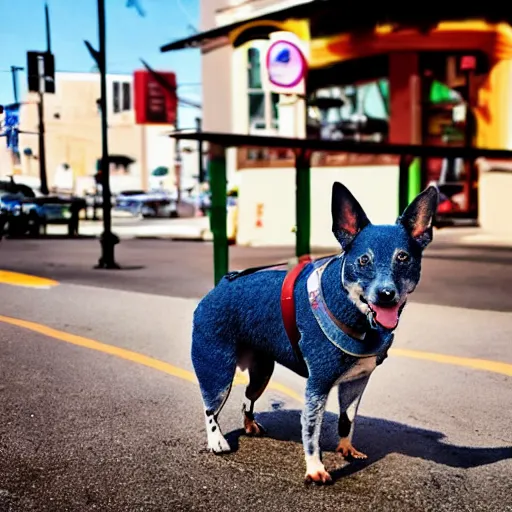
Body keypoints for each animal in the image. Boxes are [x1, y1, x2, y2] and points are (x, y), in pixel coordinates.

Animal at [190, 182, 438, 486]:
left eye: (403, 257)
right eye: (363, 260)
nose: (386, 294)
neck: (355, 315)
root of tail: (220, 285)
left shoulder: (357, 382)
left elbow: (347, 420)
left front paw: (346, 448)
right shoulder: (317, 386)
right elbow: (311, 432)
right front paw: (315, 468)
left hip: (262, 372)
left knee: (248, 397)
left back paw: (249, 424)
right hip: (217, 370)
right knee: (210, 407)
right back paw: (217, 441)